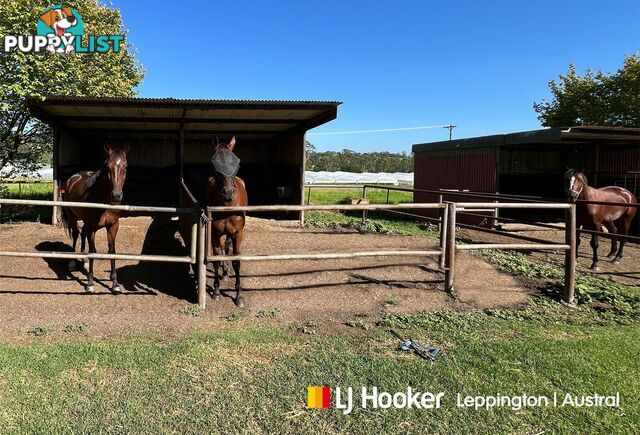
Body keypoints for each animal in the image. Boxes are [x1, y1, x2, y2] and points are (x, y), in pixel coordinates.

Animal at [60, 146, 129, 292]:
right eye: (107, 167)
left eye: (125, 167)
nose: (116, 195)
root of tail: (72, 178)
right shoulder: (92, 227)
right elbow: (92, 251)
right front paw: (90, 283)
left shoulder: (113, 226)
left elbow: (112, 251)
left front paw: (115, 284)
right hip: (72, 217)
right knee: (76, 234)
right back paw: (72, 262)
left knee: (82, 234)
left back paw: (84, 261)